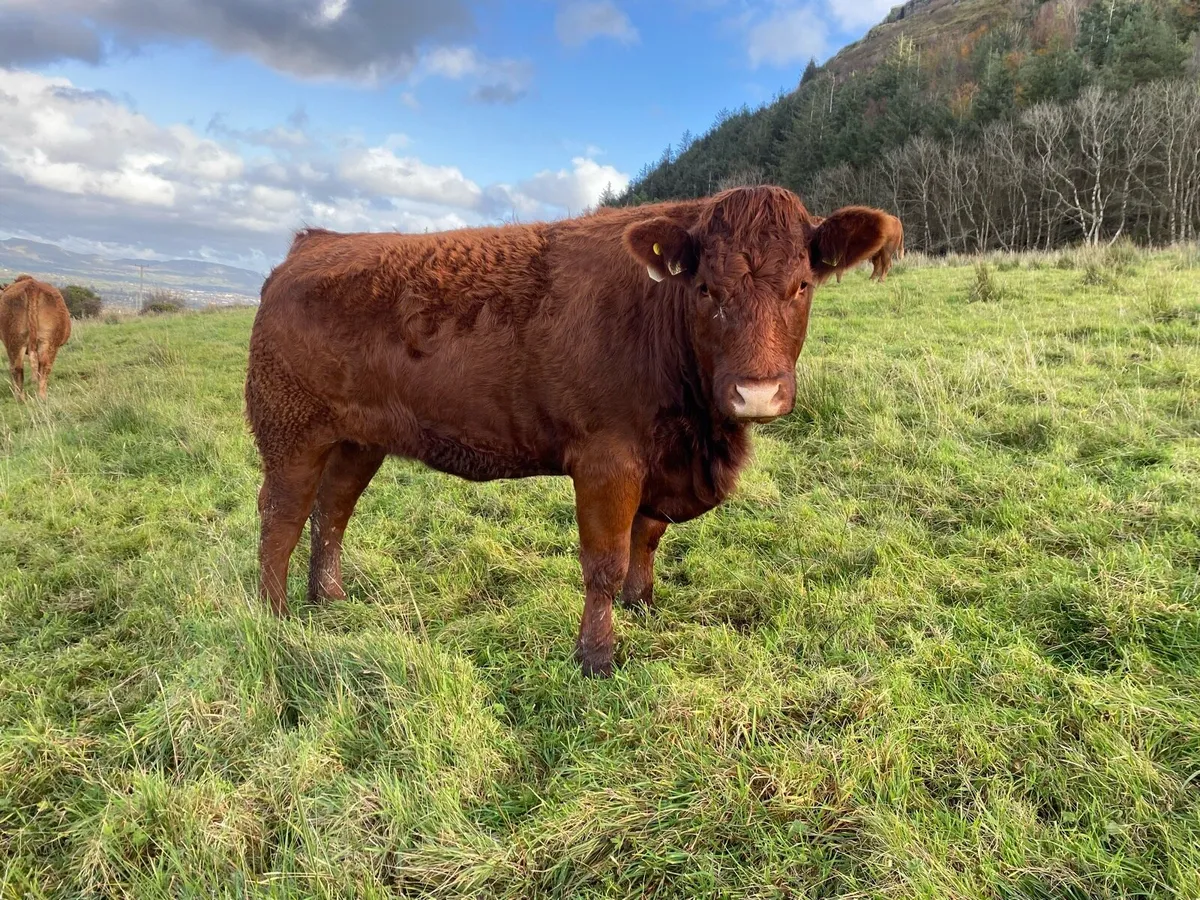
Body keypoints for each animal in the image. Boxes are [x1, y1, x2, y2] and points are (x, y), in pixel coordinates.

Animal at [245, 186, 895, 676]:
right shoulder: (607, 460)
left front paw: (642, 605)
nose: (755, 393)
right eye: (707, 288)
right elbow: (604, 560)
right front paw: (597, 657)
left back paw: (329, 599)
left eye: (802, 285)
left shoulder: (659, 460)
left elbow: (647, 537)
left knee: (332, 509)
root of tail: (317, 242)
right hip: (289, 429)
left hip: (359, 439)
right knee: (282, 516)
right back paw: (275, 618)